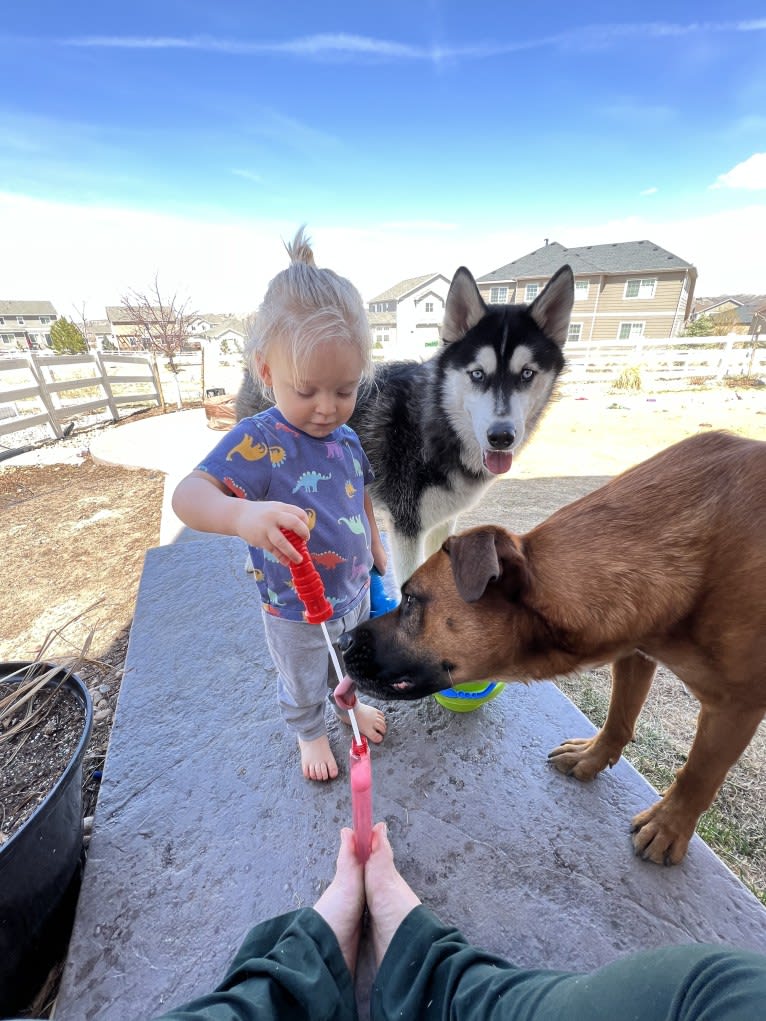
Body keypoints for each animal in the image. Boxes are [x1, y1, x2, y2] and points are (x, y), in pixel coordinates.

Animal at [341, 428, 766, 861]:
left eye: (411, 600)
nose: (341, 639)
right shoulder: (634, 649)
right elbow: (619, 714)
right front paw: (593, 757)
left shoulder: (736, 705)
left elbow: (699, 771)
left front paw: (670, 824)